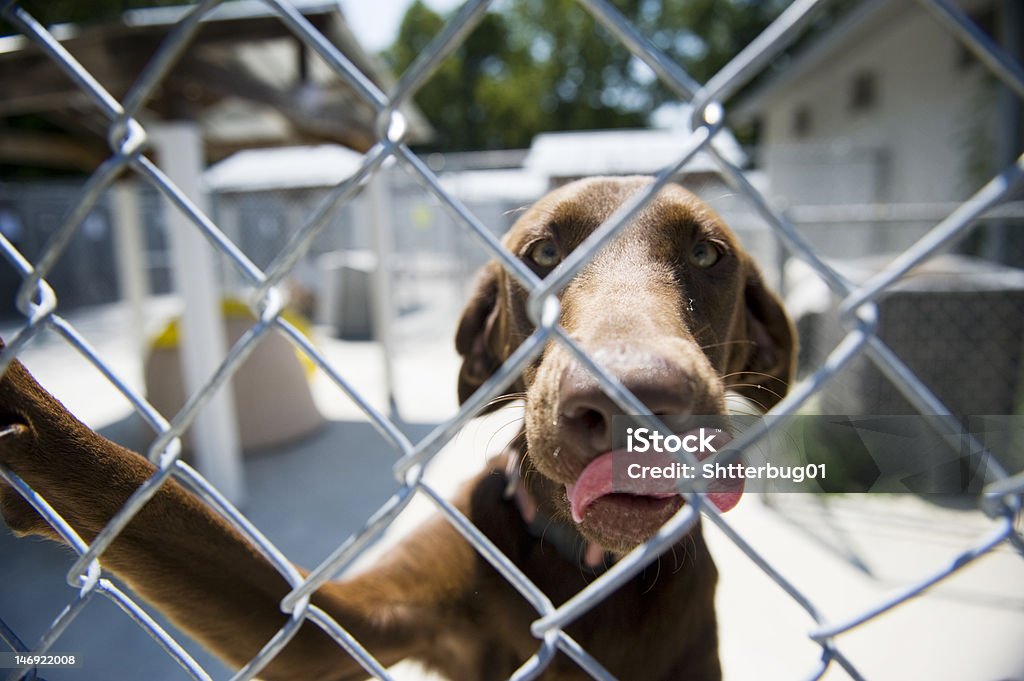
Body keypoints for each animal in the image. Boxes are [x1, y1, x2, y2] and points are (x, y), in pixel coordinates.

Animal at [0, 176, 790, 679]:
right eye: (542, 252)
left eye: (707, 254)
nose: (634, 397)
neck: (584, 569)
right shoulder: (344, 621)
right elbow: (161, 504)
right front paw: (26, 414)